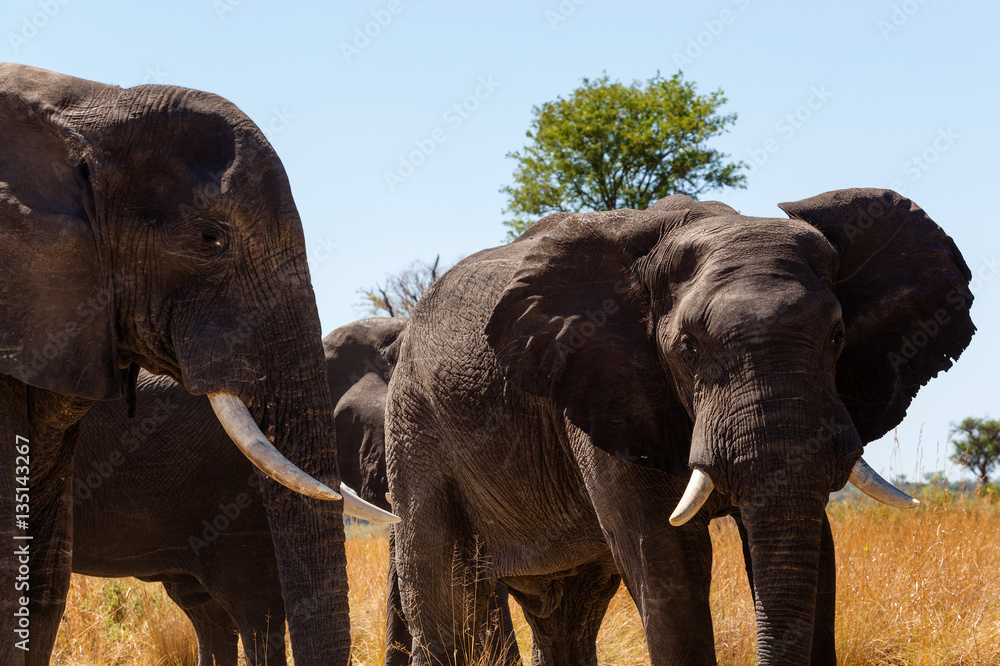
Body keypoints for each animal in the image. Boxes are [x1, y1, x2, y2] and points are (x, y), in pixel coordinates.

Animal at [383, 189, 975, 665]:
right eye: (689, 348)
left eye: (837, 336)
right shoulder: (601, 384)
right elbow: (669, 563)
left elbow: (817, 555)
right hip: (416, 428)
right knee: (450, 606)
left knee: (565, 613)